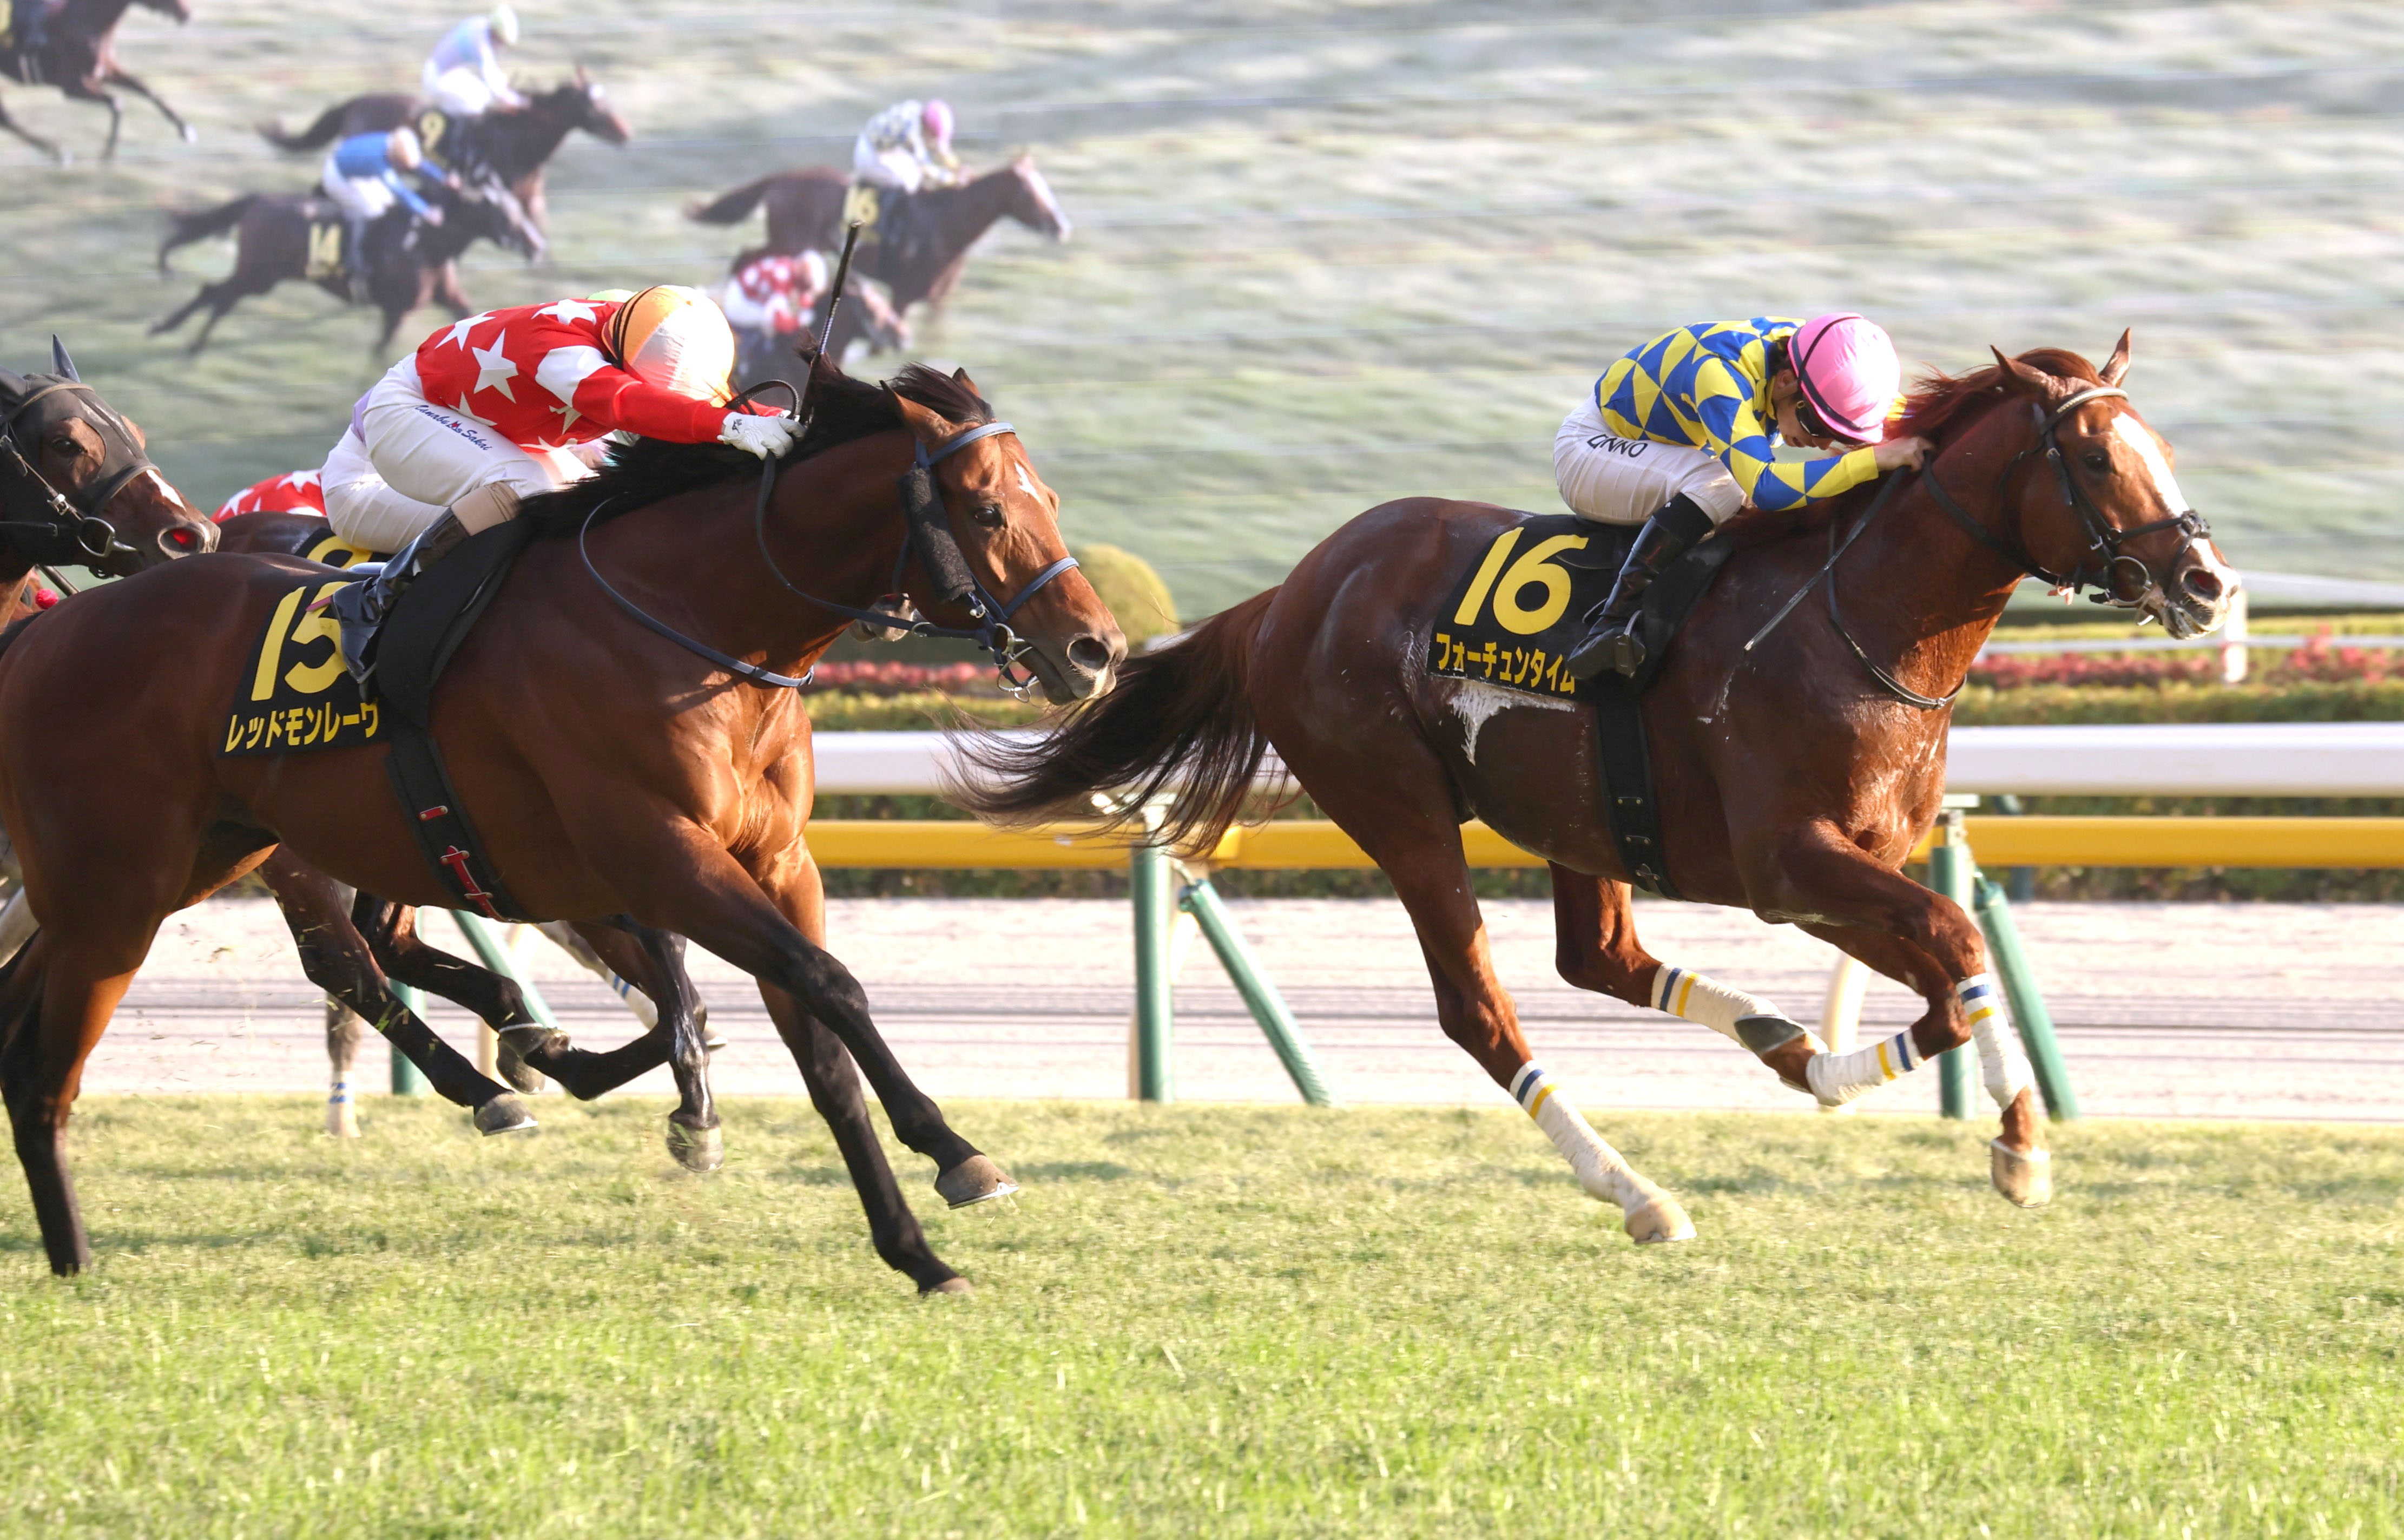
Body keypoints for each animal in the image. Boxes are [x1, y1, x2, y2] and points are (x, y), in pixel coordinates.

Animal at [0, 0, 191, 163]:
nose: (187, 13)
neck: (88, 22)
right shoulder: (72, 87)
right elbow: (117, 103)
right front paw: (108, 151)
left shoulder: (106, 72)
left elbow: (146, 90)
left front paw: (186, 130)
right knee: (7, 120)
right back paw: (58, 152)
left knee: (7, 121)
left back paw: (55, 152)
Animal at [0, 357, 1125, 1286]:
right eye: (986, 509)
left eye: (1049, 499)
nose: (1096, 650)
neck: (693, 619)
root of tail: (45, 634)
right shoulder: (660, 852)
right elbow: (822, 986)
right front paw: (954, 1152)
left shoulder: (776, 863)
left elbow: (811, 1044)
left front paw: (917, 1246)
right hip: (138, 882)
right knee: (300, 973)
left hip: (182, 863)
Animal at [152, 170, 543, 353]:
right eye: (508, 216)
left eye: (518, 209)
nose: (537, 245)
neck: (426, 241)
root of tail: (258, 201)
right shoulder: (397, 310)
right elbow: (380, 352)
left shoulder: (444, 297)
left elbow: (470, 322)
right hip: (259, 275)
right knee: (217, 295)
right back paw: (176, 335)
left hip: (260, 276)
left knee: (219, 296)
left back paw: (182, 338)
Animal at [689, 159, 1071, 356]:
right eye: (1031, 194)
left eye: (1045, 187)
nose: (1061, 226)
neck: (945, 223)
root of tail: (782, 178)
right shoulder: (904, 295)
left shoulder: (936, 299)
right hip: (790, 243)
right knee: (747, 259)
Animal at [957, 336, 2234, 1244]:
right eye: (2095, 459)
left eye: (2160, 445)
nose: (2205, 581)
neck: (1854, 621)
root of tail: (1287, 593)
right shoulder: (1788, 865)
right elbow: (1958, 946)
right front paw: (2013, 1143)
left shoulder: (1843, 870)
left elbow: (1953, 964)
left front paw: (1891, 1075)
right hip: (1400, 811)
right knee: (1481, 1011)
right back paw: (1637, 1191)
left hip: (1578, 818)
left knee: (1602, 960)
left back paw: (1779, 1045)